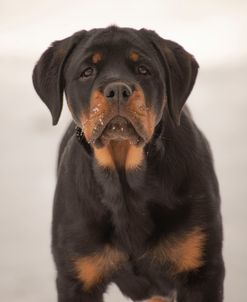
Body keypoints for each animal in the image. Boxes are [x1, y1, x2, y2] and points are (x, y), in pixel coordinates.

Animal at [31, 26, 225, 302]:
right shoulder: (76, 276)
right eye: (87, 72)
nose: (118, 90)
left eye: (144, 69)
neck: (125, 184)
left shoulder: (201, 271)